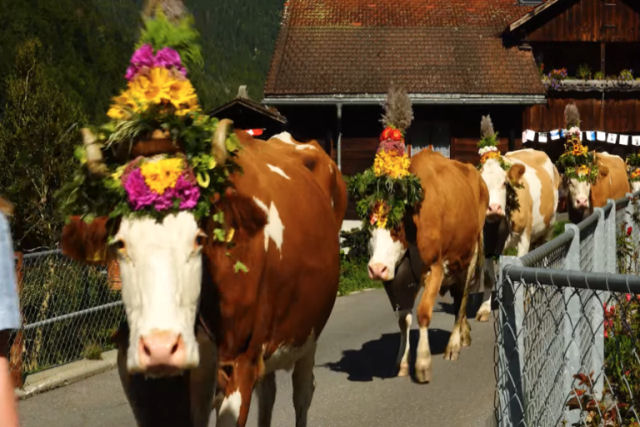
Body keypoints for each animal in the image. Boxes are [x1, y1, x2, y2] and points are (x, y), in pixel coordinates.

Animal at [61, 121, 344, 427]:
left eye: (198, 239)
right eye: (120, 243)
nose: (161, 347)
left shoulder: (240, 362)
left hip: (308, 333)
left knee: (302, 393)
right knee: (268, 392)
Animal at [364, 149, 484, 382]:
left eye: (396, 228)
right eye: (370, 229)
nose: (377, 269)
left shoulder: (435, 267)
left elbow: (423, 312)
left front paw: (422, 362)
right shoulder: (398, 276)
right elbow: (404, 319)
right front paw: (402, 362)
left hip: (471, 255)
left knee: (463, 299)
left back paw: (453, 345)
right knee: (458, 300)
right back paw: (464, 334)